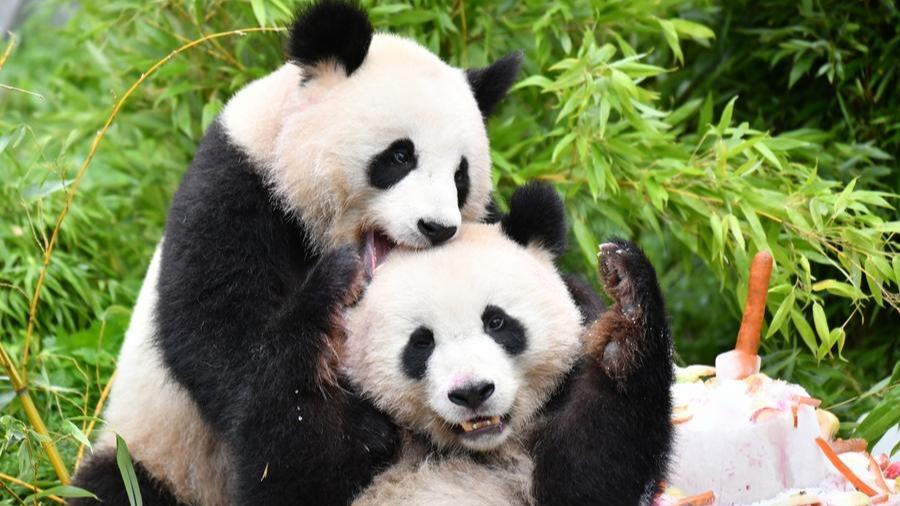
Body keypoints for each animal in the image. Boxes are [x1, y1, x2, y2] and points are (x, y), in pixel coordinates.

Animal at [71, 1, 520, 505]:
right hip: (159, 453)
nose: (438, 228)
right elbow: (215, 331)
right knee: (117, 485)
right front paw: (359, 428)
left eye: (461, 175)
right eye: (400, 156)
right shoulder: (235, 191)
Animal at [341, 183, 675, 506]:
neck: (484, 446)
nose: (472, 392)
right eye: (421, 342)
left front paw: (626, 312)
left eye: (496, 322)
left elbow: (590, 478)